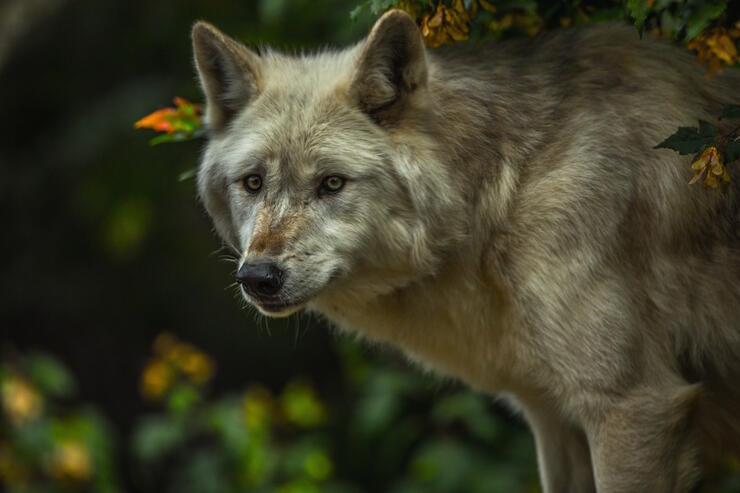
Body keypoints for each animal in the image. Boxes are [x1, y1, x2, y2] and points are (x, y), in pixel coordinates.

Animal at [192, 11, 740, 492]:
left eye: (331, 183)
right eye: (253, 182)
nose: (258, 277)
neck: (506, 190)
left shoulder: (634, 405)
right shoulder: (551, 417)